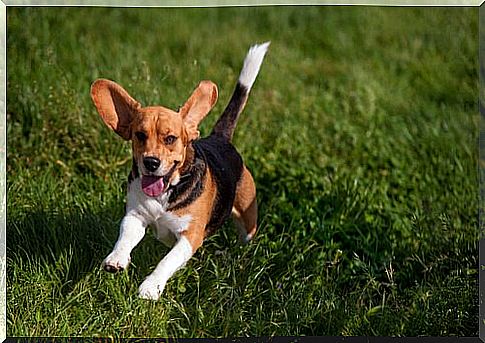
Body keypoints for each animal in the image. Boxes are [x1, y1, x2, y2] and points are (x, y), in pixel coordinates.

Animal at [87, 42, 268, 300]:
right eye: (139, 135)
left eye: (170, 138)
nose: (151, 162)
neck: (166, 192)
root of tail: (219, 138)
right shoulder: (135, 217)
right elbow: (125, 238)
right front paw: (116, 259)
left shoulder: (189, 237)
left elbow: (167, 261)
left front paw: (151, 287)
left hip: (247, 218)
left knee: (246, 238)